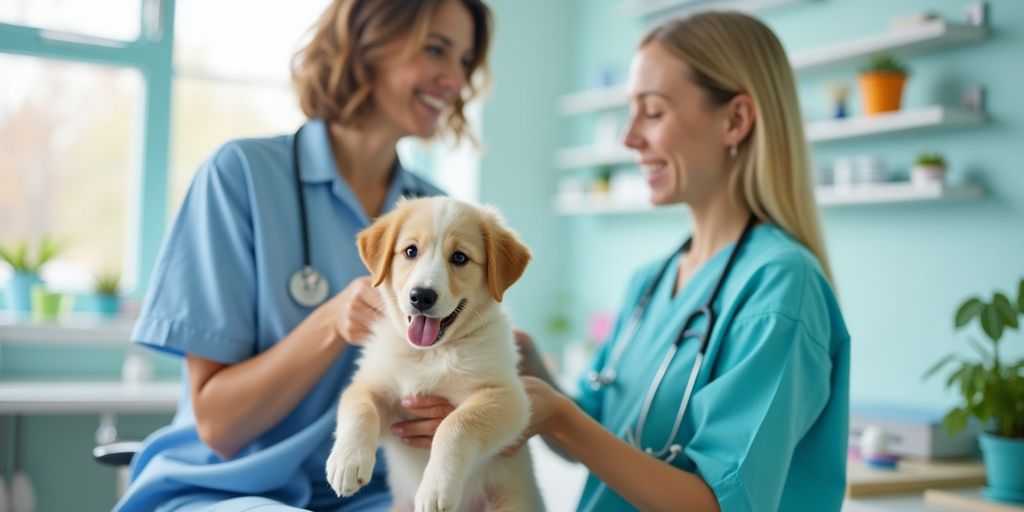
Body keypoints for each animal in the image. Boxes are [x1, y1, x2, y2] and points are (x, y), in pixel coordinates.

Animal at [327, 196, 544, 512]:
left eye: (460, 258)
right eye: (410, 251)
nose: (421, 296)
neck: (429, 354)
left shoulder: (506, 396)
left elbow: (456, 425)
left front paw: (436, 488)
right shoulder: (375, 390)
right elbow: (359, 408)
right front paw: (347, 462)